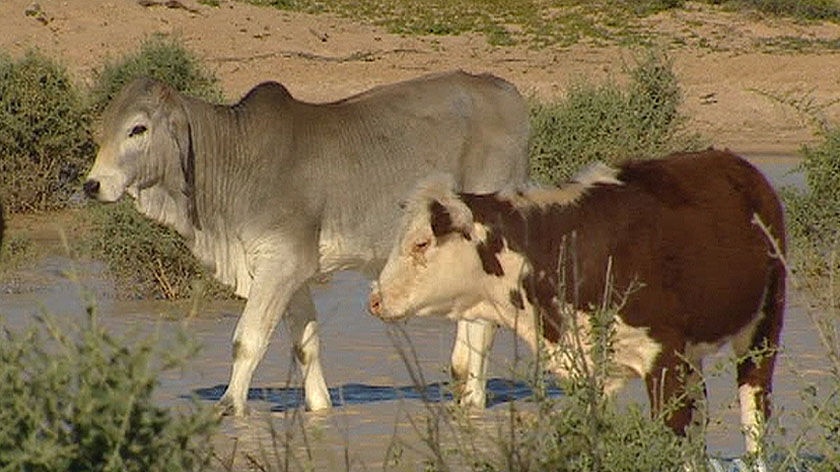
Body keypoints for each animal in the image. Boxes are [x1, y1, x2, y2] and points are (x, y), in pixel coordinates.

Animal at [87, 71, 532, 416]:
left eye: (138, 128)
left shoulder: (281, 263)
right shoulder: (289, 272)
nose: (92, 185)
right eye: (105, 128)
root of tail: (507, 92)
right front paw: (319, 410)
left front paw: (230, 406)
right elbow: (306, 346)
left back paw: (472, 400)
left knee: (483, 326)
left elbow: (247, 340)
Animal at [370, 150, 784, 454]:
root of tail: (737, 164)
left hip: (762, 331)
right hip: (693, 355)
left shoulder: (663, 359)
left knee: (753, 418)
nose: (375, 299)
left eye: (421, 243)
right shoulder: (591, 369)